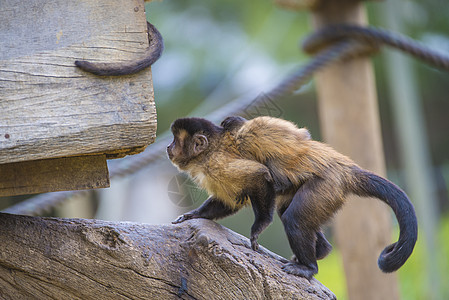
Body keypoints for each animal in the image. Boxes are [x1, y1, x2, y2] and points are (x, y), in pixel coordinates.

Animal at [166, 115, 418, 278]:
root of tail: (344, 167)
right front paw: (192, 216)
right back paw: (322, 250)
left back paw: (309, 267)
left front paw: (259, 227)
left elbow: (259, 175)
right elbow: (229, 200)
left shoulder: (218, 163)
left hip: (328, 184)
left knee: (294, 218)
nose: (169, 147)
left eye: (176, 140)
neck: (209, 152)